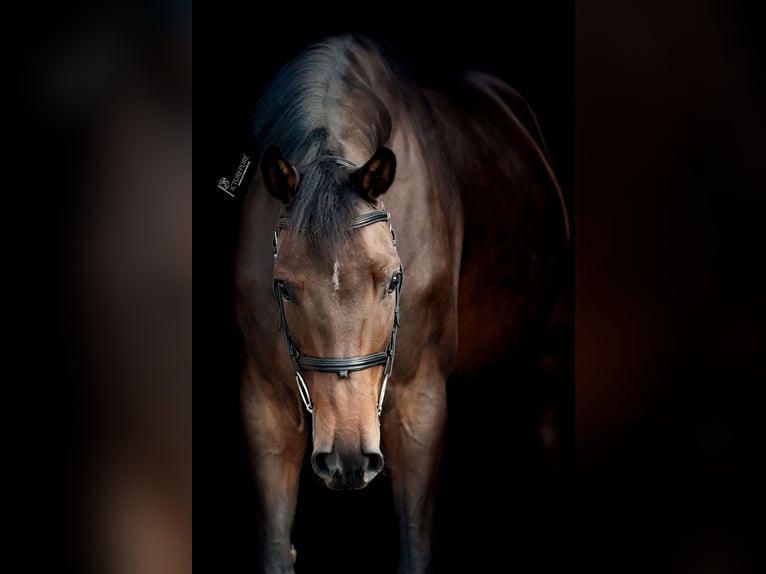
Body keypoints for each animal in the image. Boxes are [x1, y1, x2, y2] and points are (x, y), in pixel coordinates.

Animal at [234, 35, 568, 574]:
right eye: (282, 286)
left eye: (394, 279)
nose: (348, 457)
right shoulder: (263, 403)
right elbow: (274, 548)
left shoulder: (419, 400)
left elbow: (415, 546)